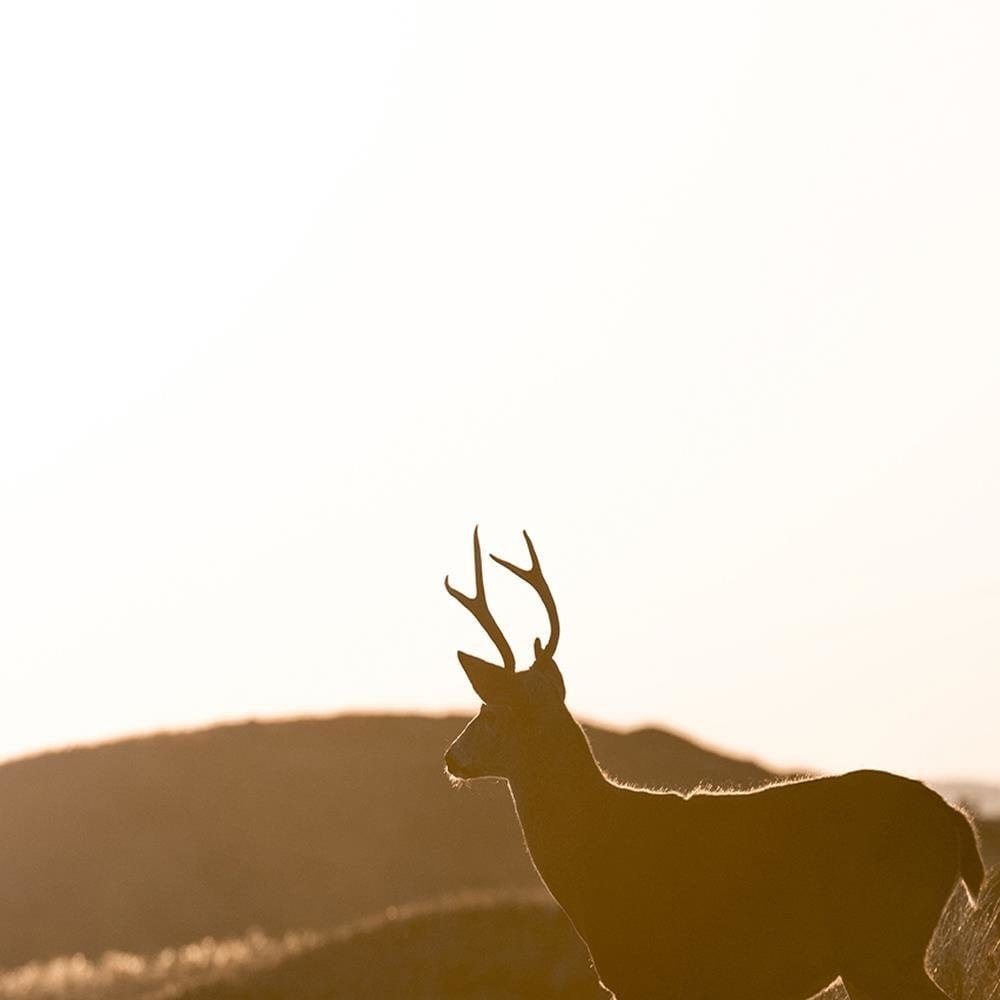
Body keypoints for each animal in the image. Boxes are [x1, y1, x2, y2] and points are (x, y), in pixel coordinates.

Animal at [443, 528, 985, 1000]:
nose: (451, 757)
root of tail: (955, 821)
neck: (597, 851)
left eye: (491, 712)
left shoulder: (645, 973)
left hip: (882, 942)